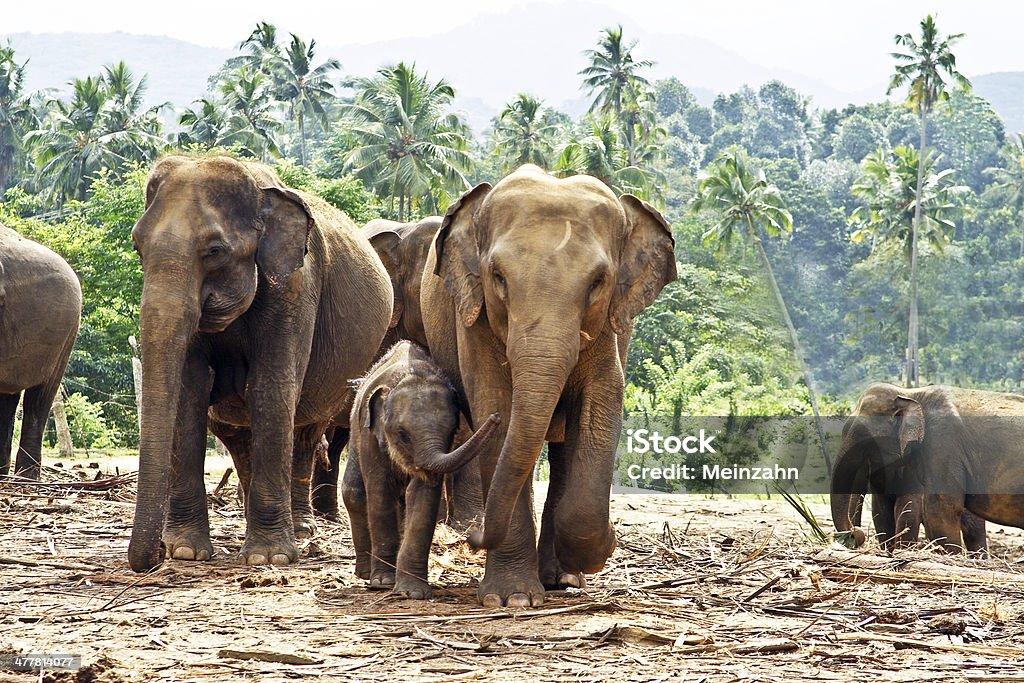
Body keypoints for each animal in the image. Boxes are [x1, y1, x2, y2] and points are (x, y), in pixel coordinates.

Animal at [124, 154, 395, 573]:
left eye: (215, 250)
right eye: (138, 246)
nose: (153, 558)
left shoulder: (296, 286)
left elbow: (271, 388)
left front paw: (270, 557)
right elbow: (190, 390)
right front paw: (185, 550)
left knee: (305, 433)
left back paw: (301, 533)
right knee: (238, 438)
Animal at [348, 342, 499, 598]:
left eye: (452, 431)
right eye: (402, 434)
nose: (496, 417)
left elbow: (422, 495)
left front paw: (413, 592)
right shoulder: (370, 438)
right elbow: (380, 494)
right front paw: (383, 582)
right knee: (355, 493)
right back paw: (365, 574)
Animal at [419, 165, 675, 610]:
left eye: (597, 282)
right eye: (498, 277)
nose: (472, 537)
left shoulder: (609, 330)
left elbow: (601, 403)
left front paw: (599, 548)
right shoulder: (474, 318)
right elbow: (498, 408)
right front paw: (512, 600)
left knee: (563, 451)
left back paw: (563, 578)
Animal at [831, 382, 1024, 552]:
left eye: (867, 442)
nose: (856, 533)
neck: (911, 395)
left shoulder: (942, 443)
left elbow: (935, 508)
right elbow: (882, 512)